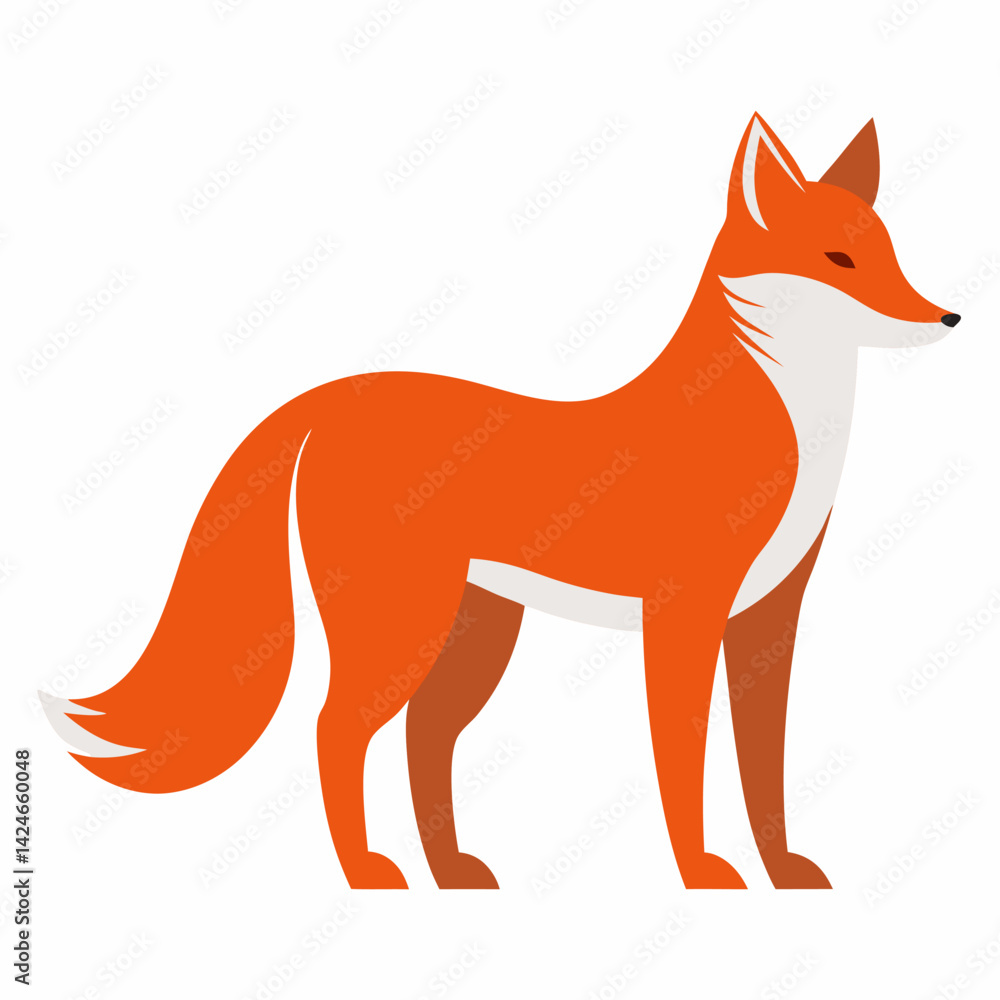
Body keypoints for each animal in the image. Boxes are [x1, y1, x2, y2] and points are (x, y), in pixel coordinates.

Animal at [45, 113, 959, 890]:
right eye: (839, 261)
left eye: (889, 251)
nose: (949, 317)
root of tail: (329, 398)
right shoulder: (683, 615)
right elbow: (684, 764)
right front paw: (701, 874)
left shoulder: (770, 617)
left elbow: (764, 767)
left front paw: (783, 872)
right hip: (405, 628)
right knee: (337, 730)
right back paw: (366, 875)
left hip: (474, 633)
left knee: (422, 738)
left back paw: (448, 873)